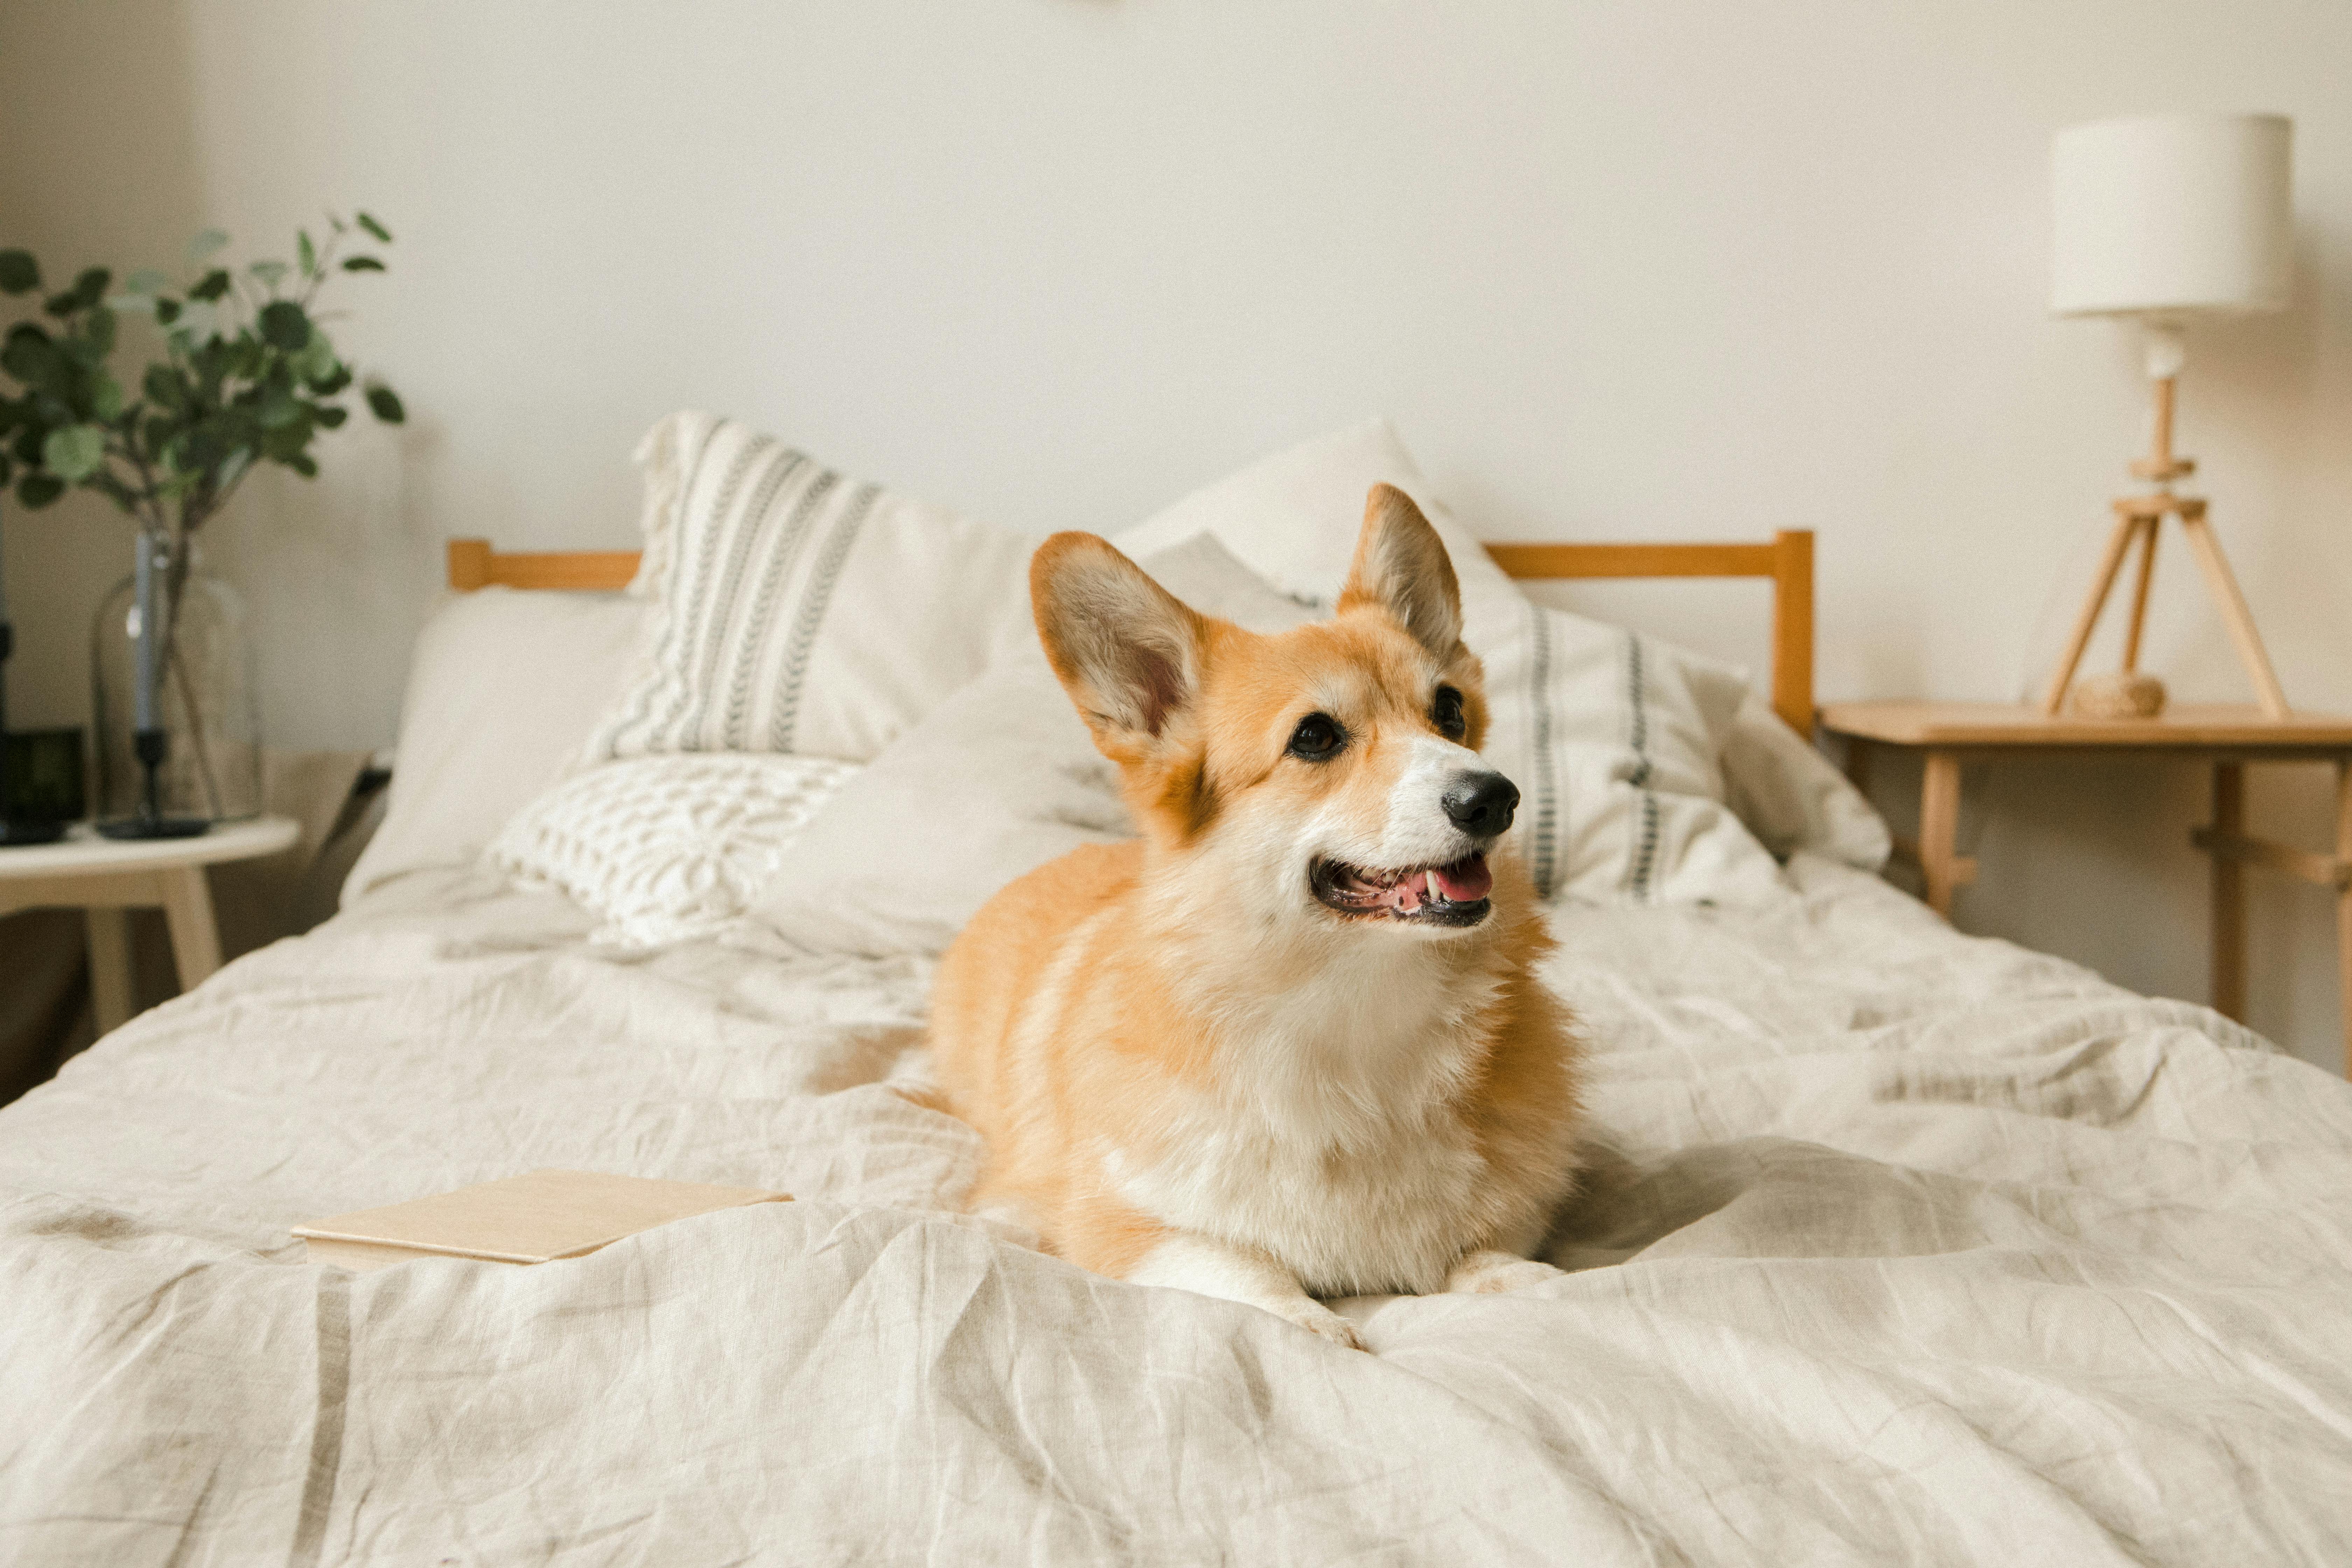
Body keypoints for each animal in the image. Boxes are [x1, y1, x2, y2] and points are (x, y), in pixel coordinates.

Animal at [931, 486, 1580, 1354]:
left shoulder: (1514, 1211)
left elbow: (1488, 1250)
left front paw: (1528, 1283)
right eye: (1315, 736)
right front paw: (1311, 1322)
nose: (1495, 796)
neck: (1354, 1014)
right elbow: (1241, 1267)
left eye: (1449, 711)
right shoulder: (1123, 1223)